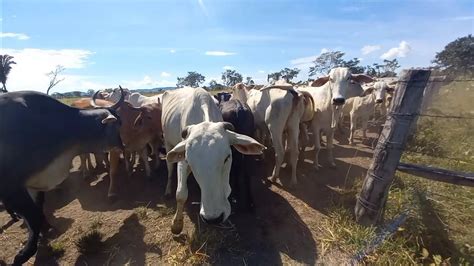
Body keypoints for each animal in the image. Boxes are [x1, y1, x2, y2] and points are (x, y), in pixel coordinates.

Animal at [0, 89, 125, 264]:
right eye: (119, 123)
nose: (122, 147)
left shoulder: (35, 183)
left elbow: (39, 210)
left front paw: (45, 230)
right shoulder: (11, 188)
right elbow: (34, 216)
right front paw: (22, 255)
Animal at [163, 87, 266, 233]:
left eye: (227, 157)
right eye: (190, 162)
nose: (213, 218)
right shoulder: (182, 161)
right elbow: (181, 194)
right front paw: (177, 224)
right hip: (167, 142)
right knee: (169, 167)